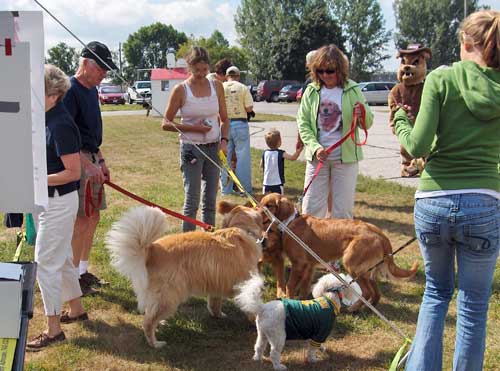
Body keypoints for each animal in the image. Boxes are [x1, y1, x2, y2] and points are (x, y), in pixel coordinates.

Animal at [105, 203, 262, 348]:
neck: (241, 227)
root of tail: (151, 250)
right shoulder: (246, 284)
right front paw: (255, 322)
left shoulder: (217, 283)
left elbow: (214, 303)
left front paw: (219, 315)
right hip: (169, 297)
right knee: (148, 322)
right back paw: (155, 343)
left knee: (151, 313)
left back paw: (161, 323)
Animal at [258, 193, 418, 312]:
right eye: (260, 203)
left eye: (268, 206)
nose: (255, 214)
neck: (290, 223)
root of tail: (380, 234)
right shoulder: (309, 266)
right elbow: (304, 287)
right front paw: (302, 301)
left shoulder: (299, 263)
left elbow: (289, 285)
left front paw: (288, 300)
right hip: (369, 270)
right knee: (376, 293)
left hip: (352, 264)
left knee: (367, 292)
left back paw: (353, 309)